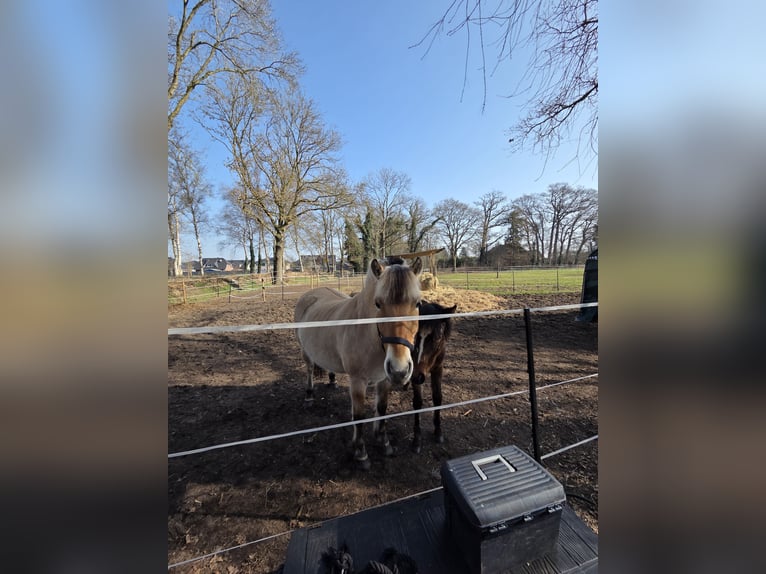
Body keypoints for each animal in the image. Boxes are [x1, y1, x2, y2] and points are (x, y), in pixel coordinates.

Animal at [294, 257, 423, 469]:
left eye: (418, 303)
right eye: (378, 303)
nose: (400, 370)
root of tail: (311, 293)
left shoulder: (384, 379)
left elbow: (382, 408)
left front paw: (383, 442)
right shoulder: (357, 382)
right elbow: (359, 416)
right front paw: (361, 453)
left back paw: (332, 381)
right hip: (305, 352)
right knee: (310, 370)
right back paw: (309, 397)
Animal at [409, 301, 457, 453]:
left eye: (437, 338)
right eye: (414, 335)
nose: (417, 377)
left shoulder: (437, 369)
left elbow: (437, 397)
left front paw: (438, 431)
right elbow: (418, 402)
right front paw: (417, 439)